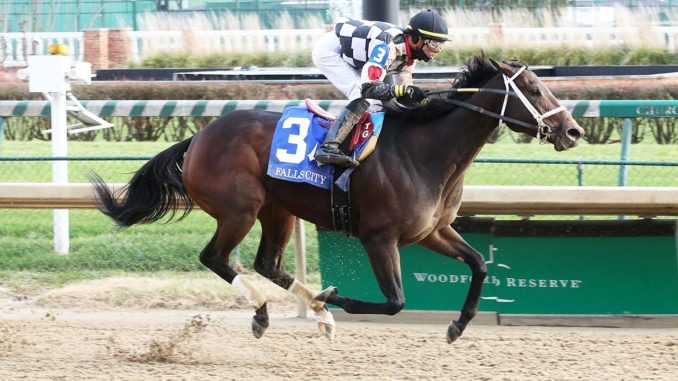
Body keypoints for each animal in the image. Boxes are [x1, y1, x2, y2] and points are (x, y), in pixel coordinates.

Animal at [90, 52, 584, 342]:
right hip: (239, 210)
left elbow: (480, 264)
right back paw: (267, 313)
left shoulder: (433, 231)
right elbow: (395, 301)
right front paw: (338, 299)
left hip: (278, 211)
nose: (574, 131)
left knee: (267, 264)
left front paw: (457, 325)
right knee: (216, 258)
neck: (424, 152)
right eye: (535, 90)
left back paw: (315, 312)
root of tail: (198, 137)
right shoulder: (379, 238)